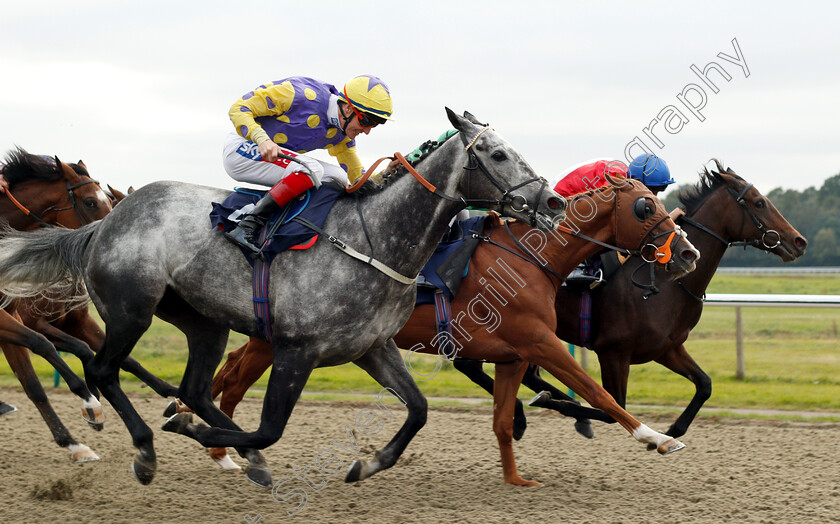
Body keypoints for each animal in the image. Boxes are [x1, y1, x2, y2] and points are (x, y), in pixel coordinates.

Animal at [0, 109, 564, 488]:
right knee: (103, 370)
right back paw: (143, 448)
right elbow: (269, 428)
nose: (554, 201)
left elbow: (420, 410)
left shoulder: (372, 347)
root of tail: (105, 222)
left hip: (204, 321)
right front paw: (192, 433)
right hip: (131, 308)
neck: (373, 241)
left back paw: (225, 447)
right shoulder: (297, 350)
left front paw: (367, 464)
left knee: (197, 387)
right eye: (497, 154)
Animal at [179, 175, 704, 484]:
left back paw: (216, 442)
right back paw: (220, 446)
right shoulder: (541, 342)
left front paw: (515, 479)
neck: (530, 257)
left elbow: (502, 420)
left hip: (271, 336)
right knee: (231, 380)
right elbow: (599, 393)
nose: (687, 253)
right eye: (644, 207)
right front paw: (657, 437)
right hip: (280, 340)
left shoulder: (514, 354)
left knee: (228, 377)